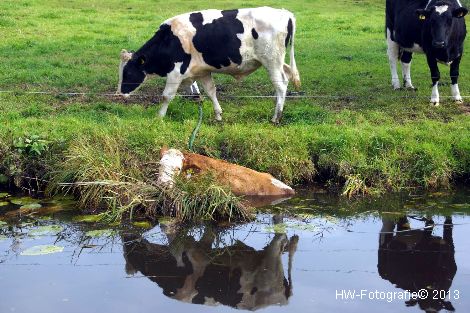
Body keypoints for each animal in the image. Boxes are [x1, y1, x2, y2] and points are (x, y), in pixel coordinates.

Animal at [117, 6, 302, 122]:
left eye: (128, 73)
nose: (119, 94)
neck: (168, 40)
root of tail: (285, 13)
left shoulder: (176, 71)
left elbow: (166, 96)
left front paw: (159, 117)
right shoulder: (202, 71)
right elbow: (211, 91)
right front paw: (218, 115)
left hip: (272, 61)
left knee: (281, 85)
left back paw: (276, 117)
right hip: (277, 61)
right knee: (287, 73)